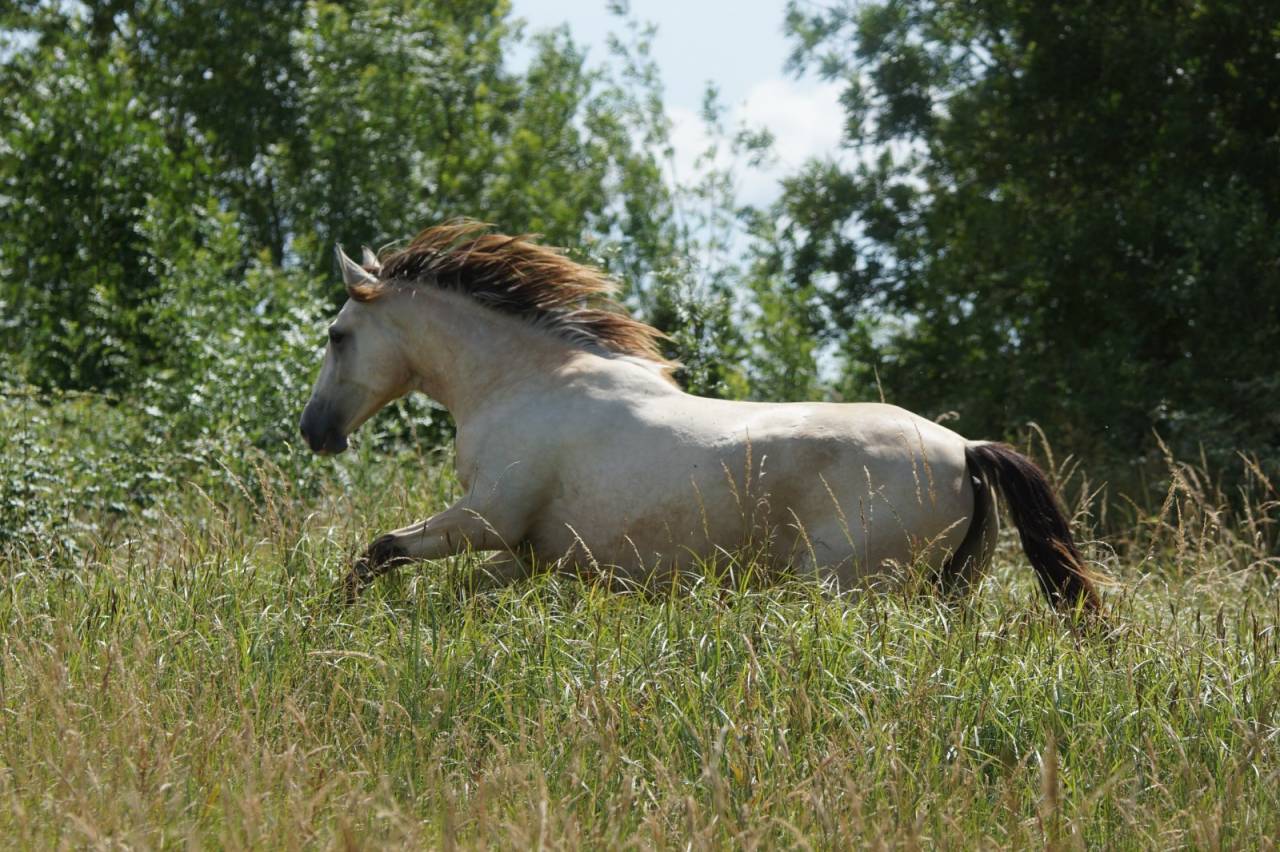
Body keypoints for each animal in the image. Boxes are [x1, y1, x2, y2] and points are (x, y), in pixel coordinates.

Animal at [300, 221, 1101, 613]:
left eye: (337, 335)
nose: (315, 432)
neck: (526, 382)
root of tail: (965, 449)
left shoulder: (485, 518)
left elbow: (380, 550)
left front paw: (332, 618)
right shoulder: (521, 553)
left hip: (854, 590)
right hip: (946, 591)